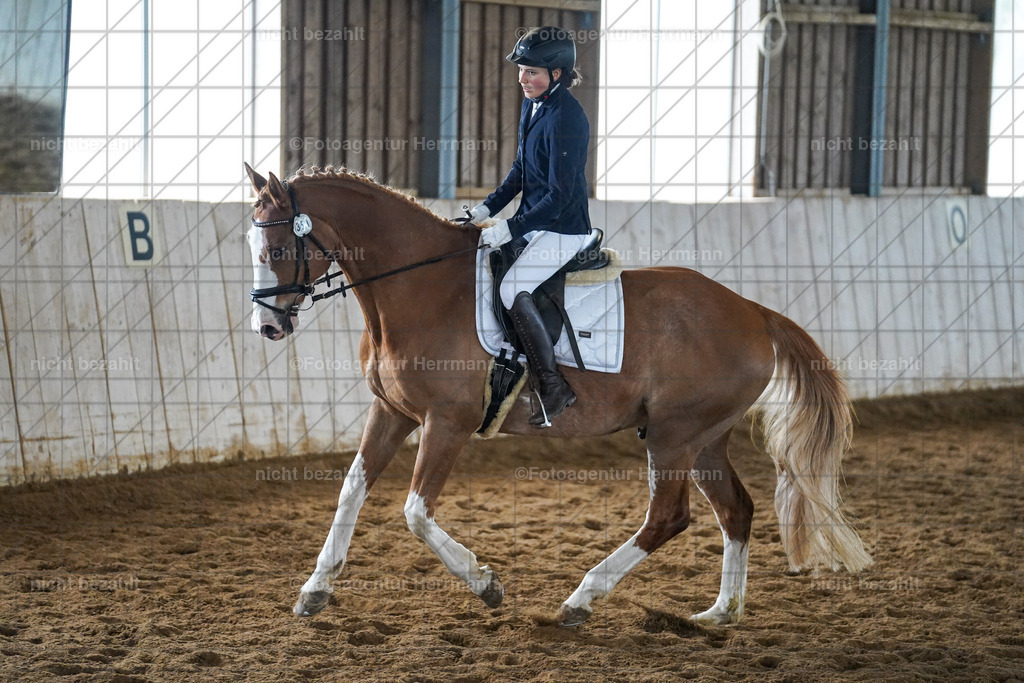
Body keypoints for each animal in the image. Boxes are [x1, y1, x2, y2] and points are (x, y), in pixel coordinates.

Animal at [242, 163, 872, 627]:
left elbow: (415, 513)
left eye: (278, 248)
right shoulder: (392, 411)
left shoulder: (447, 422)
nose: (267, 327)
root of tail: (754, 312)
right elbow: (351, 491)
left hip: (675, 436)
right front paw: (314, 590)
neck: (419, 287)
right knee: (735, 510)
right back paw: (720, 613)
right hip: (705, 440)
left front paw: (487, 586)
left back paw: (580, 601)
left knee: (668, 516)